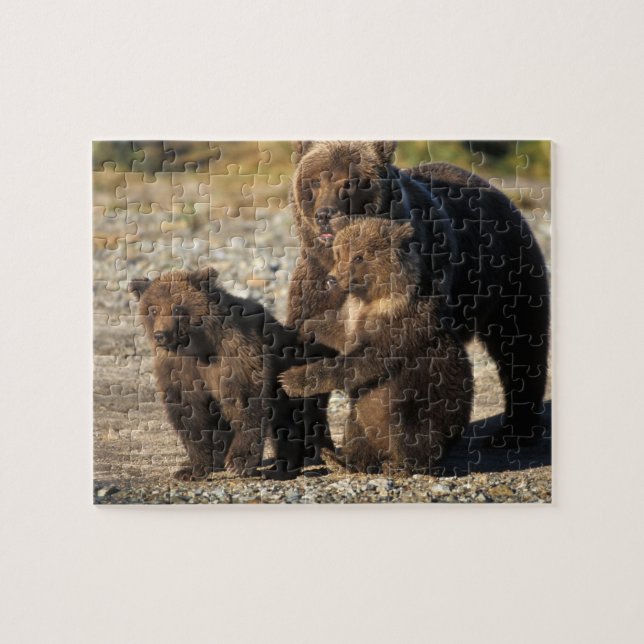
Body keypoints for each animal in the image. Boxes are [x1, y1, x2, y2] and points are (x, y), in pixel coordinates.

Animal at [129, 267, 312, 480]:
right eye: (153, 309)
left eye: (177, 308)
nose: (161, 335)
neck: (197, 347)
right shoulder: (178, 369)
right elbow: (190, 413)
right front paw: (193, 468)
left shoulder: (236, 356)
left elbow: (246, 401)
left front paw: (238, 462)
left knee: (287, 421)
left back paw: (283, 465)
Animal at [280, 218, 473, 473]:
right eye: (339, 253)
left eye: (359, 257)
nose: (332, 279)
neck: (373, 299)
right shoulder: (351, 316)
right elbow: (334, 331)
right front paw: (302, 329)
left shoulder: (400, 326)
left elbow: (362, 362)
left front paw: (291, 379)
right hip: (364, 418)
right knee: (357, 428)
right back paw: (341, 459)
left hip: (424, 403)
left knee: (408, 428)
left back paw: (401, 464)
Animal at [287, 140, 549, 451]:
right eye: (315, 180)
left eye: (349, 181)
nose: (325, 214)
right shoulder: (315, 287)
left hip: (510, 275)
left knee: (521, 345)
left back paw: (514, 431)